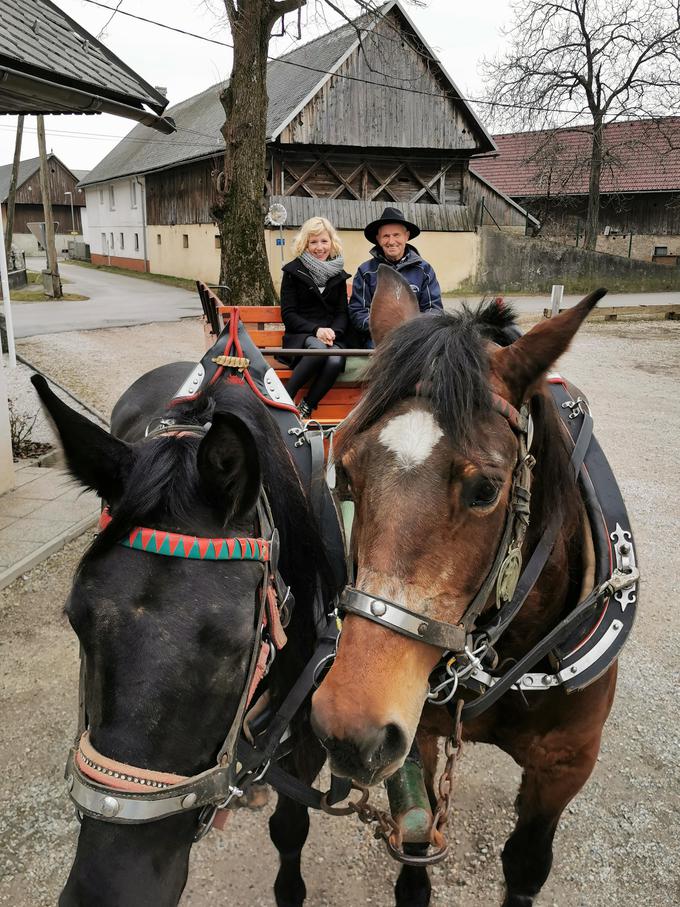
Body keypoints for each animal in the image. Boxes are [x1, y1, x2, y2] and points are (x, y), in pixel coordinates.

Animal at [312, 274, 628, 907]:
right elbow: (415, 842)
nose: (347, 730)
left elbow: (526, 864)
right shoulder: (420, 735)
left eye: (485, 490)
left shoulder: (566, 763)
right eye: (346, 474)